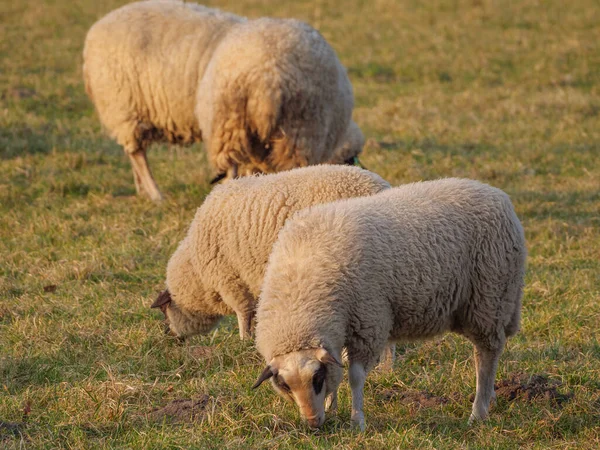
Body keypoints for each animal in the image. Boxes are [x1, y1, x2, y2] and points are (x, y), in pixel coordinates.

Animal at [152, 165, 392, 342]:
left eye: (165, 310)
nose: (168, 336)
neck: (196, 271)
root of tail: (380, 186)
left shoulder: (229, 279)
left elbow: (243, 312)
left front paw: (244, 339)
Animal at [252, 178, 524, 430]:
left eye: (317, 379)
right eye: (285, 386)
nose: (313, 423)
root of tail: (496, 194)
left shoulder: (368, 321)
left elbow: (355, 377)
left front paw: (357, 421)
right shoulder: (341, 326)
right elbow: (337, 367)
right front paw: (332, 406)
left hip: (490, 298)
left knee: (486, 357)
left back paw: (478, 411)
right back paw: (491, 397)